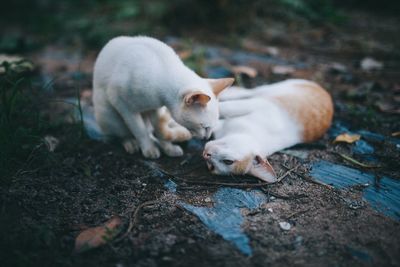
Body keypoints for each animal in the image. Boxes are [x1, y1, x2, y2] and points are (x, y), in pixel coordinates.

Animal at [92, 35, 233, 158]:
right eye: (205, 127)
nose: (207, 138)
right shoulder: (123, 105)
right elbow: (139, 130)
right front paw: (149, 149)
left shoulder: (156, 108)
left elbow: (160, 131)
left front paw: (168, 148)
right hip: (108, 113)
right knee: (123, 133)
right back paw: (131, 143)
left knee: (150, 131)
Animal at [203, 79, 334, 183]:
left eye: (227, 162)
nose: (205, 154)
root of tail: (326, 93)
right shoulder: (262, 105)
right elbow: (225, 108)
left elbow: (222, 110)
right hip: (278, 87)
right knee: (253, 91)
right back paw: (230, 91)